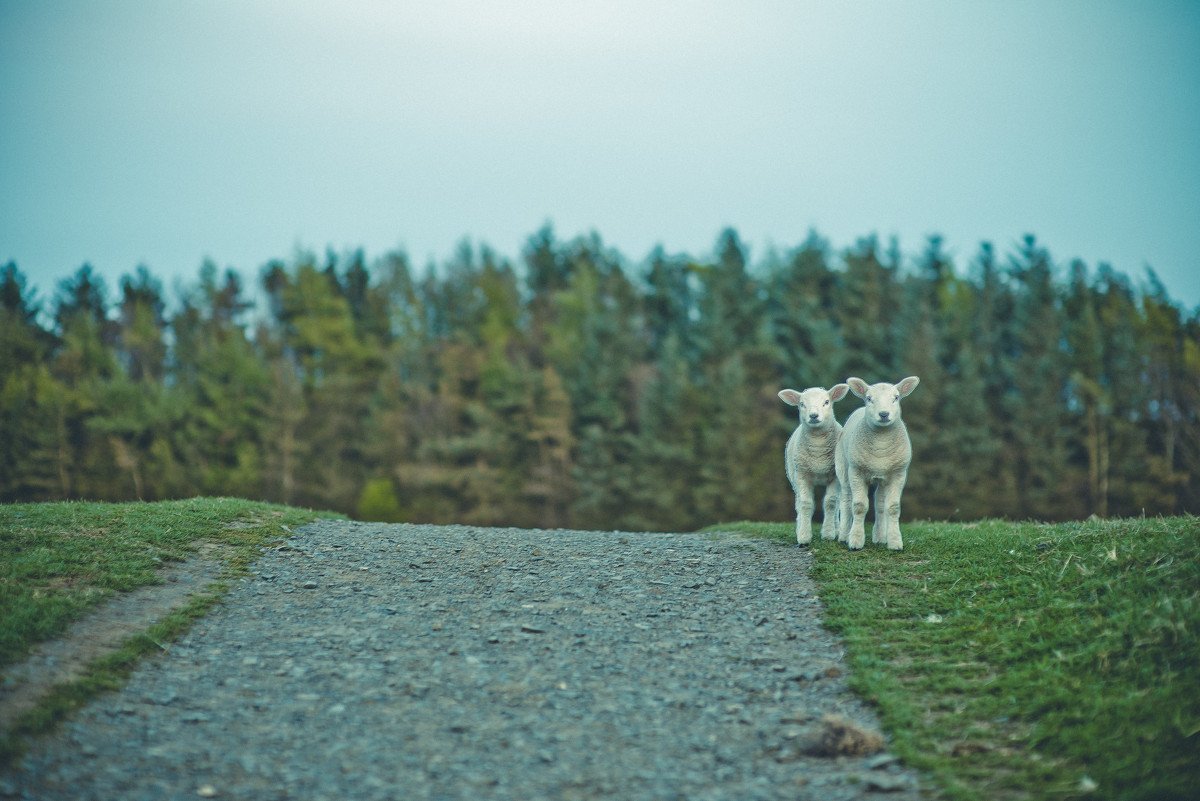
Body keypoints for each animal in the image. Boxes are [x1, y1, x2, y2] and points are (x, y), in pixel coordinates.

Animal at [782, 383, 849, 546]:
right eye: (801, 404)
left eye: (826, 402)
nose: (813, 416)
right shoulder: (802, 475)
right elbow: (805, 504)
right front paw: (804, 537)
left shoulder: (835, 476)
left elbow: (830, 503)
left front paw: (828, 534)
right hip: (793, 476)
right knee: (798, 503)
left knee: (837, 503)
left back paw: (837, 529)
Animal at [835, 376, 916, 551]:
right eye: (869, 398)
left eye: (896, 397)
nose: (884, 414)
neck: (881, 442)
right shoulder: (856, 472)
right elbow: (859, 506)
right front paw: (855, 541)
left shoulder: (898, 473)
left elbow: (892, 508)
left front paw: (895, 542)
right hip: (843, 468)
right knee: (846, 500)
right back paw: (844, 535)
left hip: (883, 477)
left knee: (879, 502)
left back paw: (880, 537)